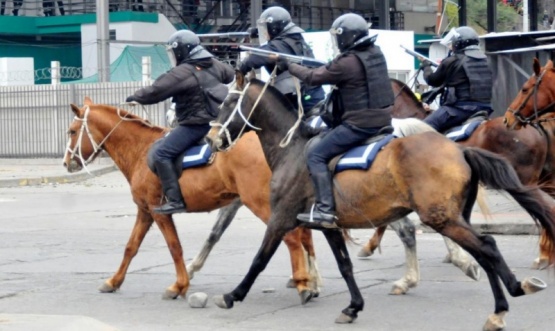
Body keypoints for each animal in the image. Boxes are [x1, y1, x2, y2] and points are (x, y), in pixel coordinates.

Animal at [62, 96, 322, 304]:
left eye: (72, 131)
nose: (66, 163)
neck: (142, 150)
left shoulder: (158, 211)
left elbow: (174, 247)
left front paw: (179, 285)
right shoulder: (144, 211)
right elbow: (131, 247)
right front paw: (114, 281)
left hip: (259, 203)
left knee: (292, 238)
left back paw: (303, 283)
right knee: (303, 236)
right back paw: (309, 280)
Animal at [204, 72, 555, 330]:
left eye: (230, 102)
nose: (212, 139)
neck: (293, 150)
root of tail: (459, 150)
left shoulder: (280, 219)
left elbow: (259, 260)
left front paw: (233, 295)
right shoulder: (329, 225)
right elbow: (345, 266)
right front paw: (353, 306)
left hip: (442, 218)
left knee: (487, 247)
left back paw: (509, 295)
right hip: (454, 217)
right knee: (482, 252)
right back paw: (498, 306)